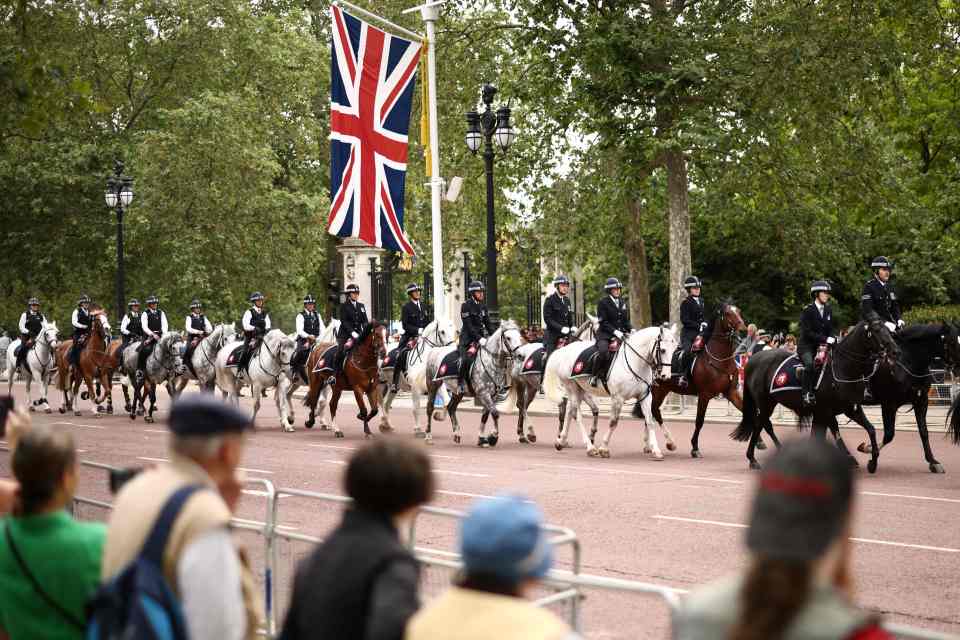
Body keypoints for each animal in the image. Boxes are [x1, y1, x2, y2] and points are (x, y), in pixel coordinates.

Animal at [544, 324, 680, 460]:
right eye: (663, 350)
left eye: (674, 349)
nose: (666, 376)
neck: (635, 362)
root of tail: (564, 350)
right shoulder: (617, 398)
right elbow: (613, 422)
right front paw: (604, 448)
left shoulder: (645, 396)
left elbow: (650, 421)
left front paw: (656, 450)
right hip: (572, 388)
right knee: (577, 416)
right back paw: (590, 447)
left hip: (579, 390)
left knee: (570, 412)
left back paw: (561, 441)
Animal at [636, 298, 752, 456]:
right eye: (728, 313)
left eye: (738, 311)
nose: (743, 328)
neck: (720, 359)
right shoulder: (704, 395)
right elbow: (699, 421)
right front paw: (695, 447)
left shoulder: (731, 392)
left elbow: (747, 412)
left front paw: (759, 442)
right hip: (657, 390)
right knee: (653, 411)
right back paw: (665, 443)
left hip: (662, 390)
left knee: (651, 412)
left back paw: (649, 445)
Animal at [736, 312, 900, 472]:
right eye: (877, 330)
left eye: (888, 330)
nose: (895, 351)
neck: (843, 368)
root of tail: (754, 358)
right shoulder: (825, 411)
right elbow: (832, 434)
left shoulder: (850, 409)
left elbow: (870, 429)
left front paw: (872, 461)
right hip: (765, 403)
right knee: (759, 424)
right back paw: (753, 459)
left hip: (770, 402)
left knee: (764, 424)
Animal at [848, 322, 960, 472]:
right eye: (952, 342)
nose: (958, 368)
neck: (908, 363)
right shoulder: (889, 405)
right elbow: (889, 435)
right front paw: (870, 452)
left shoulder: (921, 402)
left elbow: (924, 432)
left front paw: (933, 461)